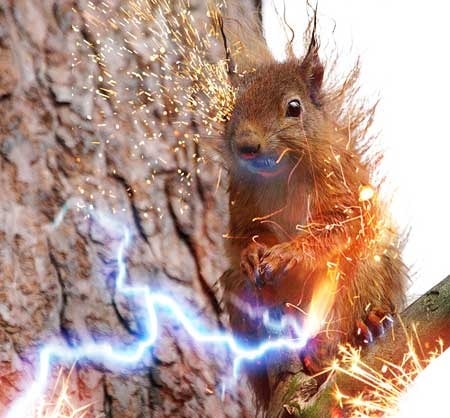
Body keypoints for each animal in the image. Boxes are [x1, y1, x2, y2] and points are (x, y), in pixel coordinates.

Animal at [216, 8, 410, 414]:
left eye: (294, 107)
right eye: (230, 109)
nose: (247, 146)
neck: (279, 171)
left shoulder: (341, 184)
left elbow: (339, 224)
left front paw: (290, 252)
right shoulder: (239, 195)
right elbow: (241, 234)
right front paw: (254, 251)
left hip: (364, 275)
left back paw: (366, 328)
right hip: (240, 291)